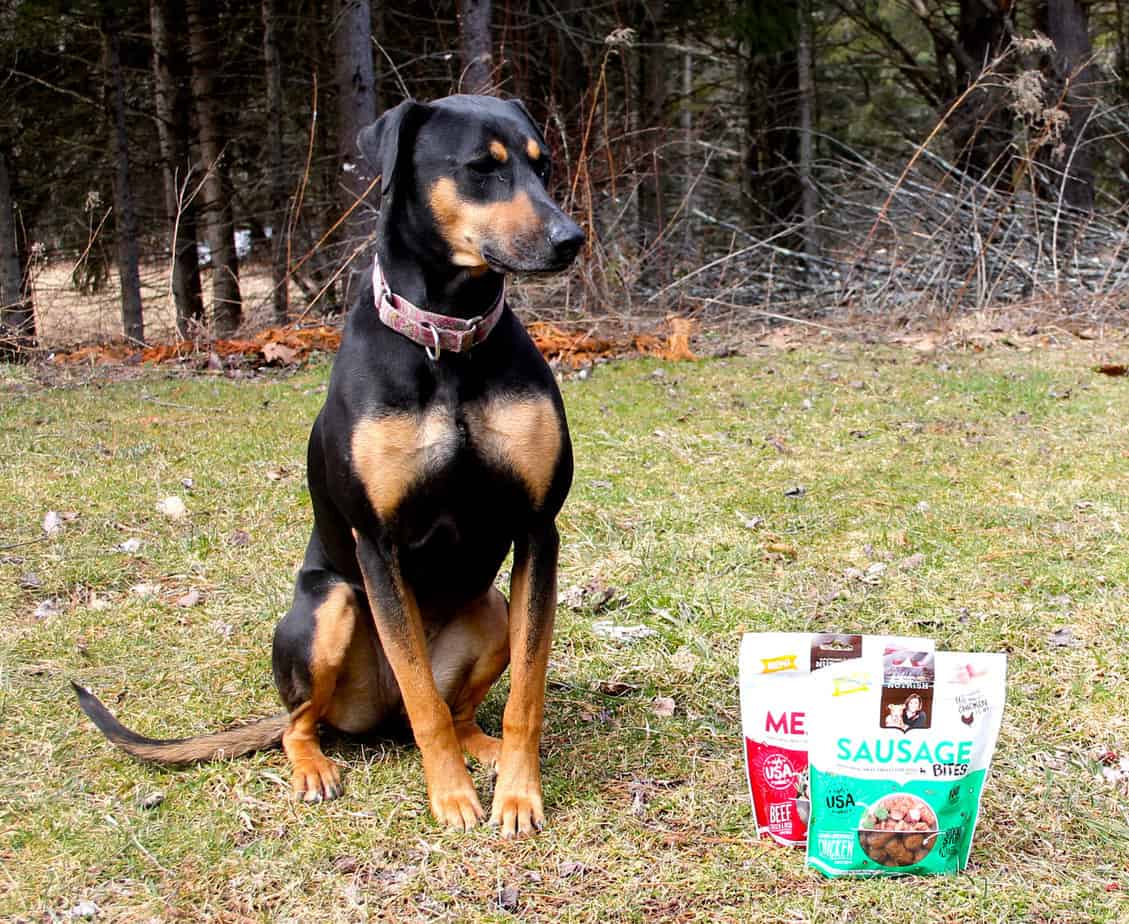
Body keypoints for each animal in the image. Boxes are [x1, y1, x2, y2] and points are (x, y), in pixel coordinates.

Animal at [72, 95, 582, 835]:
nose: (571, 239)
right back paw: (315, 768)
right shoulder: (377, 542)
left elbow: (526, 694)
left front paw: (516, 797)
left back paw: (478, 746)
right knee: (310, 720)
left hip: (490, 608)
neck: (447, 340)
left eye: (543, 167)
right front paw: (451, 799)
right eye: (480, 169)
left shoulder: (538, 530)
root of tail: (375, 717)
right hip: (327, 608)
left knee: (453, 707)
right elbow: (424, 702)